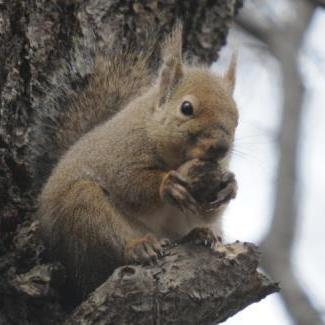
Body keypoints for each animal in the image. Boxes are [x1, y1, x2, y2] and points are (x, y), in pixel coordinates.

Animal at [34, 24, 238, 300]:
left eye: (236, 118)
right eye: (186, 108)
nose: (221, 147)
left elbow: (209, 210)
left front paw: (230, 186)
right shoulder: (120, 153)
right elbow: (129, 182)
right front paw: (168, 184)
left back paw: (201, 234)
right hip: (83, 211)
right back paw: (139, 246)